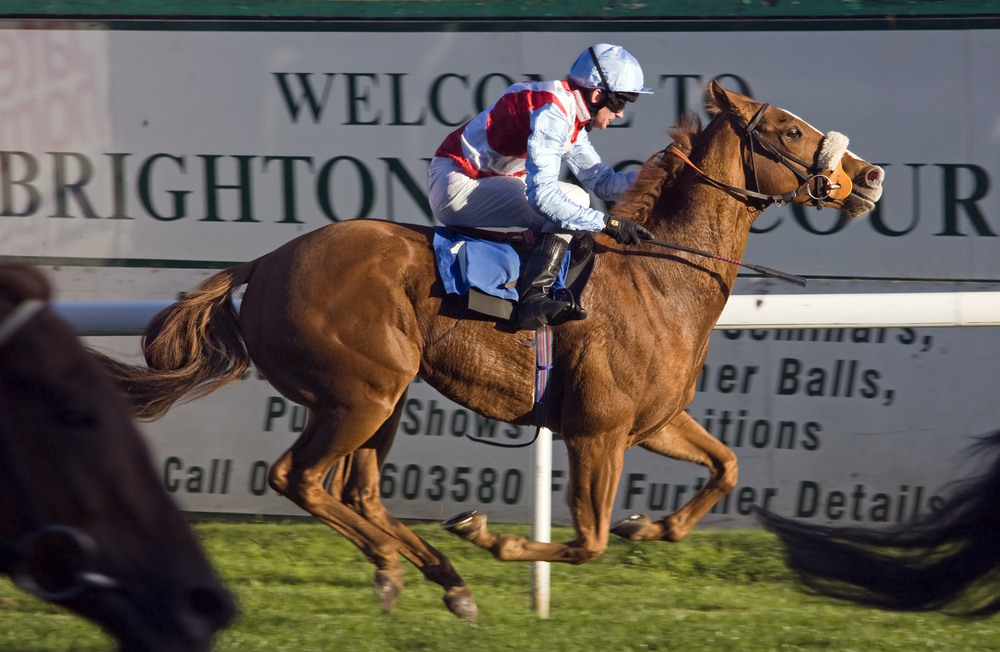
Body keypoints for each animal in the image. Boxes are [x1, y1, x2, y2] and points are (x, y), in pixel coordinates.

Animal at [92, 83, 884, 620]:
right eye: (789, 129)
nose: (869, 175)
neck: (662, 277)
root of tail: (263, 262)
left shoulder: (652, 421)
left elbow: (725, 467)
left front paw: (650, 523)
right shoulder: (598, 432)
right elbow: (588, 540)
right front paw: (494, 537)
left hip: (384, 395)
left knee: (359, 491)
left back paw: (437, 577)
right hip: (360, 394)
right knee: (301, 479)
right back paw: (408, 563)